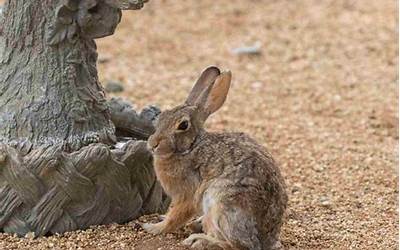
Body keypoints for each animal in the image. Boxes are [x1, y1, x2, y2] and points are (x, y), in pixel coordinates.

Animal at [142, 65, 286, 249]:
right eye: (161, 116)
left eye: (183, 125)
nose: (153, 144)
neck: (191, 147)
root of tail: (267, 239)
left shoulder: (188, 194)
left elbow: (175, 216)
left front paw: (153, 227)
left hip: (221, 204)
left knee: (239, 245)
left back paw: (198, 240)